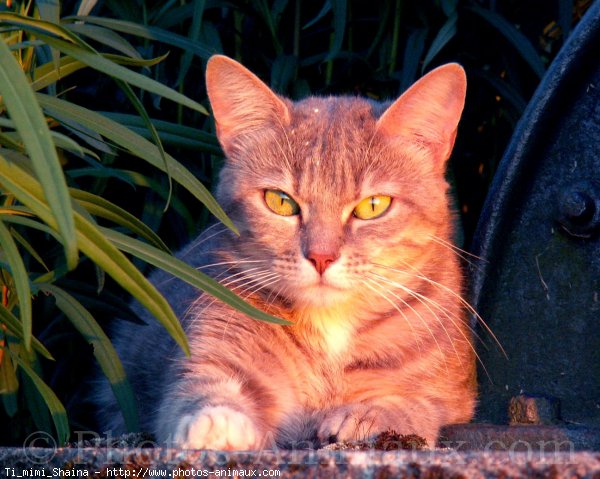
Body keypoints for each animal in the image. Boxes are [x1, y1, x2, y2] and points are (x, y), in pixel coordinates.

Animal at [96, 54, 476, 452]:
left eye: (373, 205)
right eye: (280, 201)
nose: (321, 257)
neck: (329, 330)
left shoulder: (450, 394)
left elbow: (414, 403)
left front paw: (367, 415)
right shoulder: (214, 353)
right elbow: (199, 390)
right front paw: (215, 424)